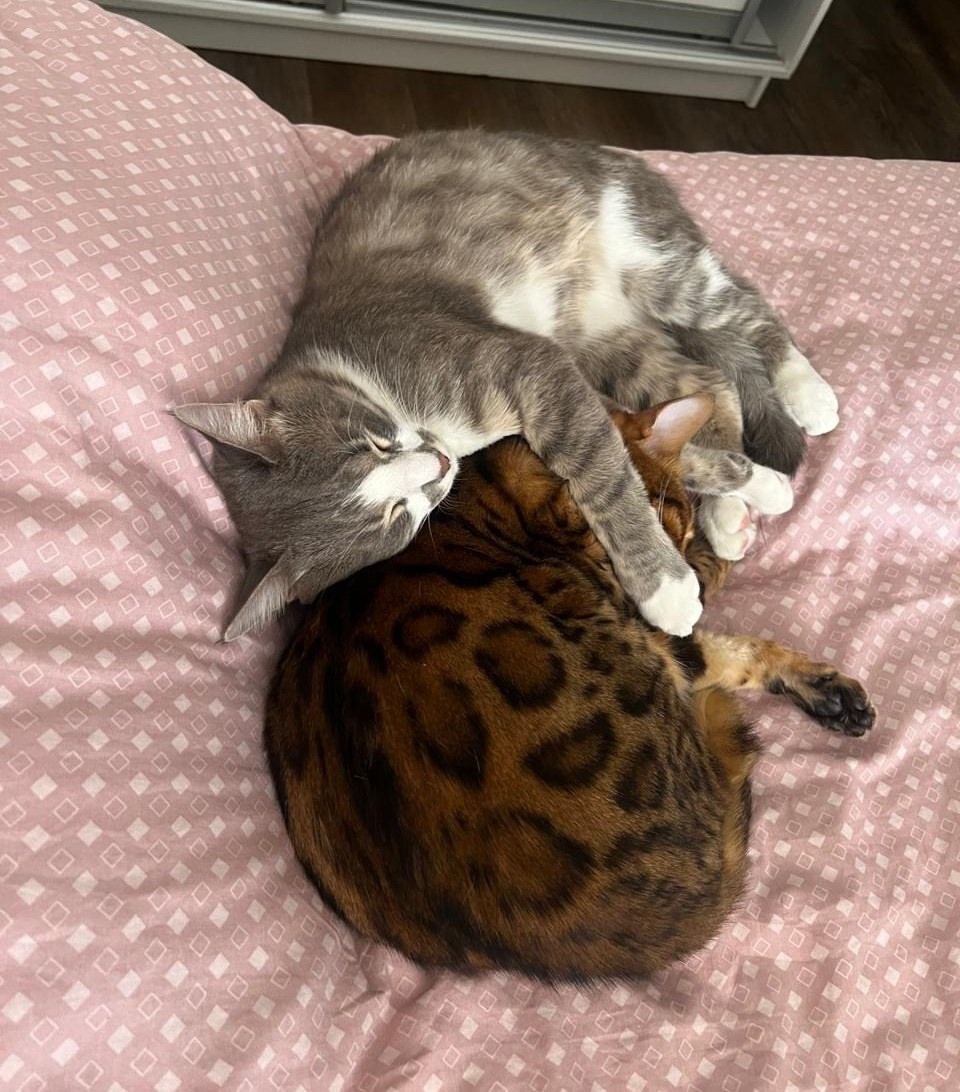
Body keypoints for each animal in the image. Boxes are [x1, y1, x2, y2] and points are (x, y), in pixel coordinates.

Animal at [173, 130, 840, 641]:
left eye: (372, 444)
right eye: (393, 517)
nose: (438, 464)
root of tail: (609, 153)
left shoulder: (527, 364)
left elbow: (604, 473)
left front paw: (666, 585)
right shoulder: (570, 382)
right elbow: (630, 450)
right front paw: (749, 487)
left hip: (652, 259)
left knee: (743, 309)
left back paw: (807, 391)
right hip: (605, 342)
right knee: (707, 376)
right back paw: (728, 511)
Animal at [263, 393, 873, 982]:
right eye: (656, 535)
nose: (685, 587)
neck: (488, 491)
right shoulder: (659, 632)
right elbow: (714, 616)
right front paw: (719, 550)